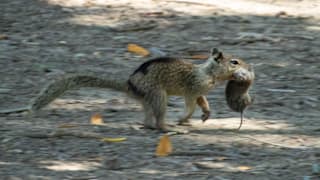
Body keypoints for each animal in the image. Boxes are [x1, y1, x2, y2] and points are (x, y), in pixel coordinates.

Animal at [1, 48, 254, 131]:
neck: (209, 73)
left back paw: (150, 125)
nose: (249, 67)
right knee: (158, 120)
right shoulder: (192, 89)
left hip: (150, 100)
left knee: (147, 119)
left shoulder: (200, 91)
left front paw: (206, 114)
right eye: (234, 62)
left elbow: (203, 102)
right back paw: (169, 127)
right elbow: (191, 103)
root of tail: (130, 86)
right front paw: (185, 118)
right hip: (158, 96)